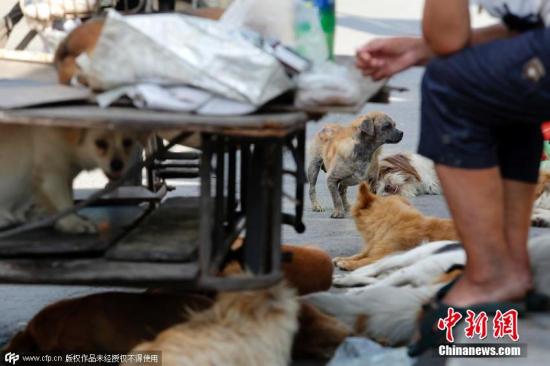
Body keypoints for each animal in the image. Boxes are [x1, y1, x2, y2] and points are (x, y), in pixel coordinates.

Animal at [0, 126, 144, 233]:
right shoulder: (52, 177)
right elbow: (64, 205)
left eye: (127, 142)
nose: (118, 165)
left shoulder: (66, 177)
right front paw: (74, 223)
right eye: (100, 143)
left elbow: (69, 201)